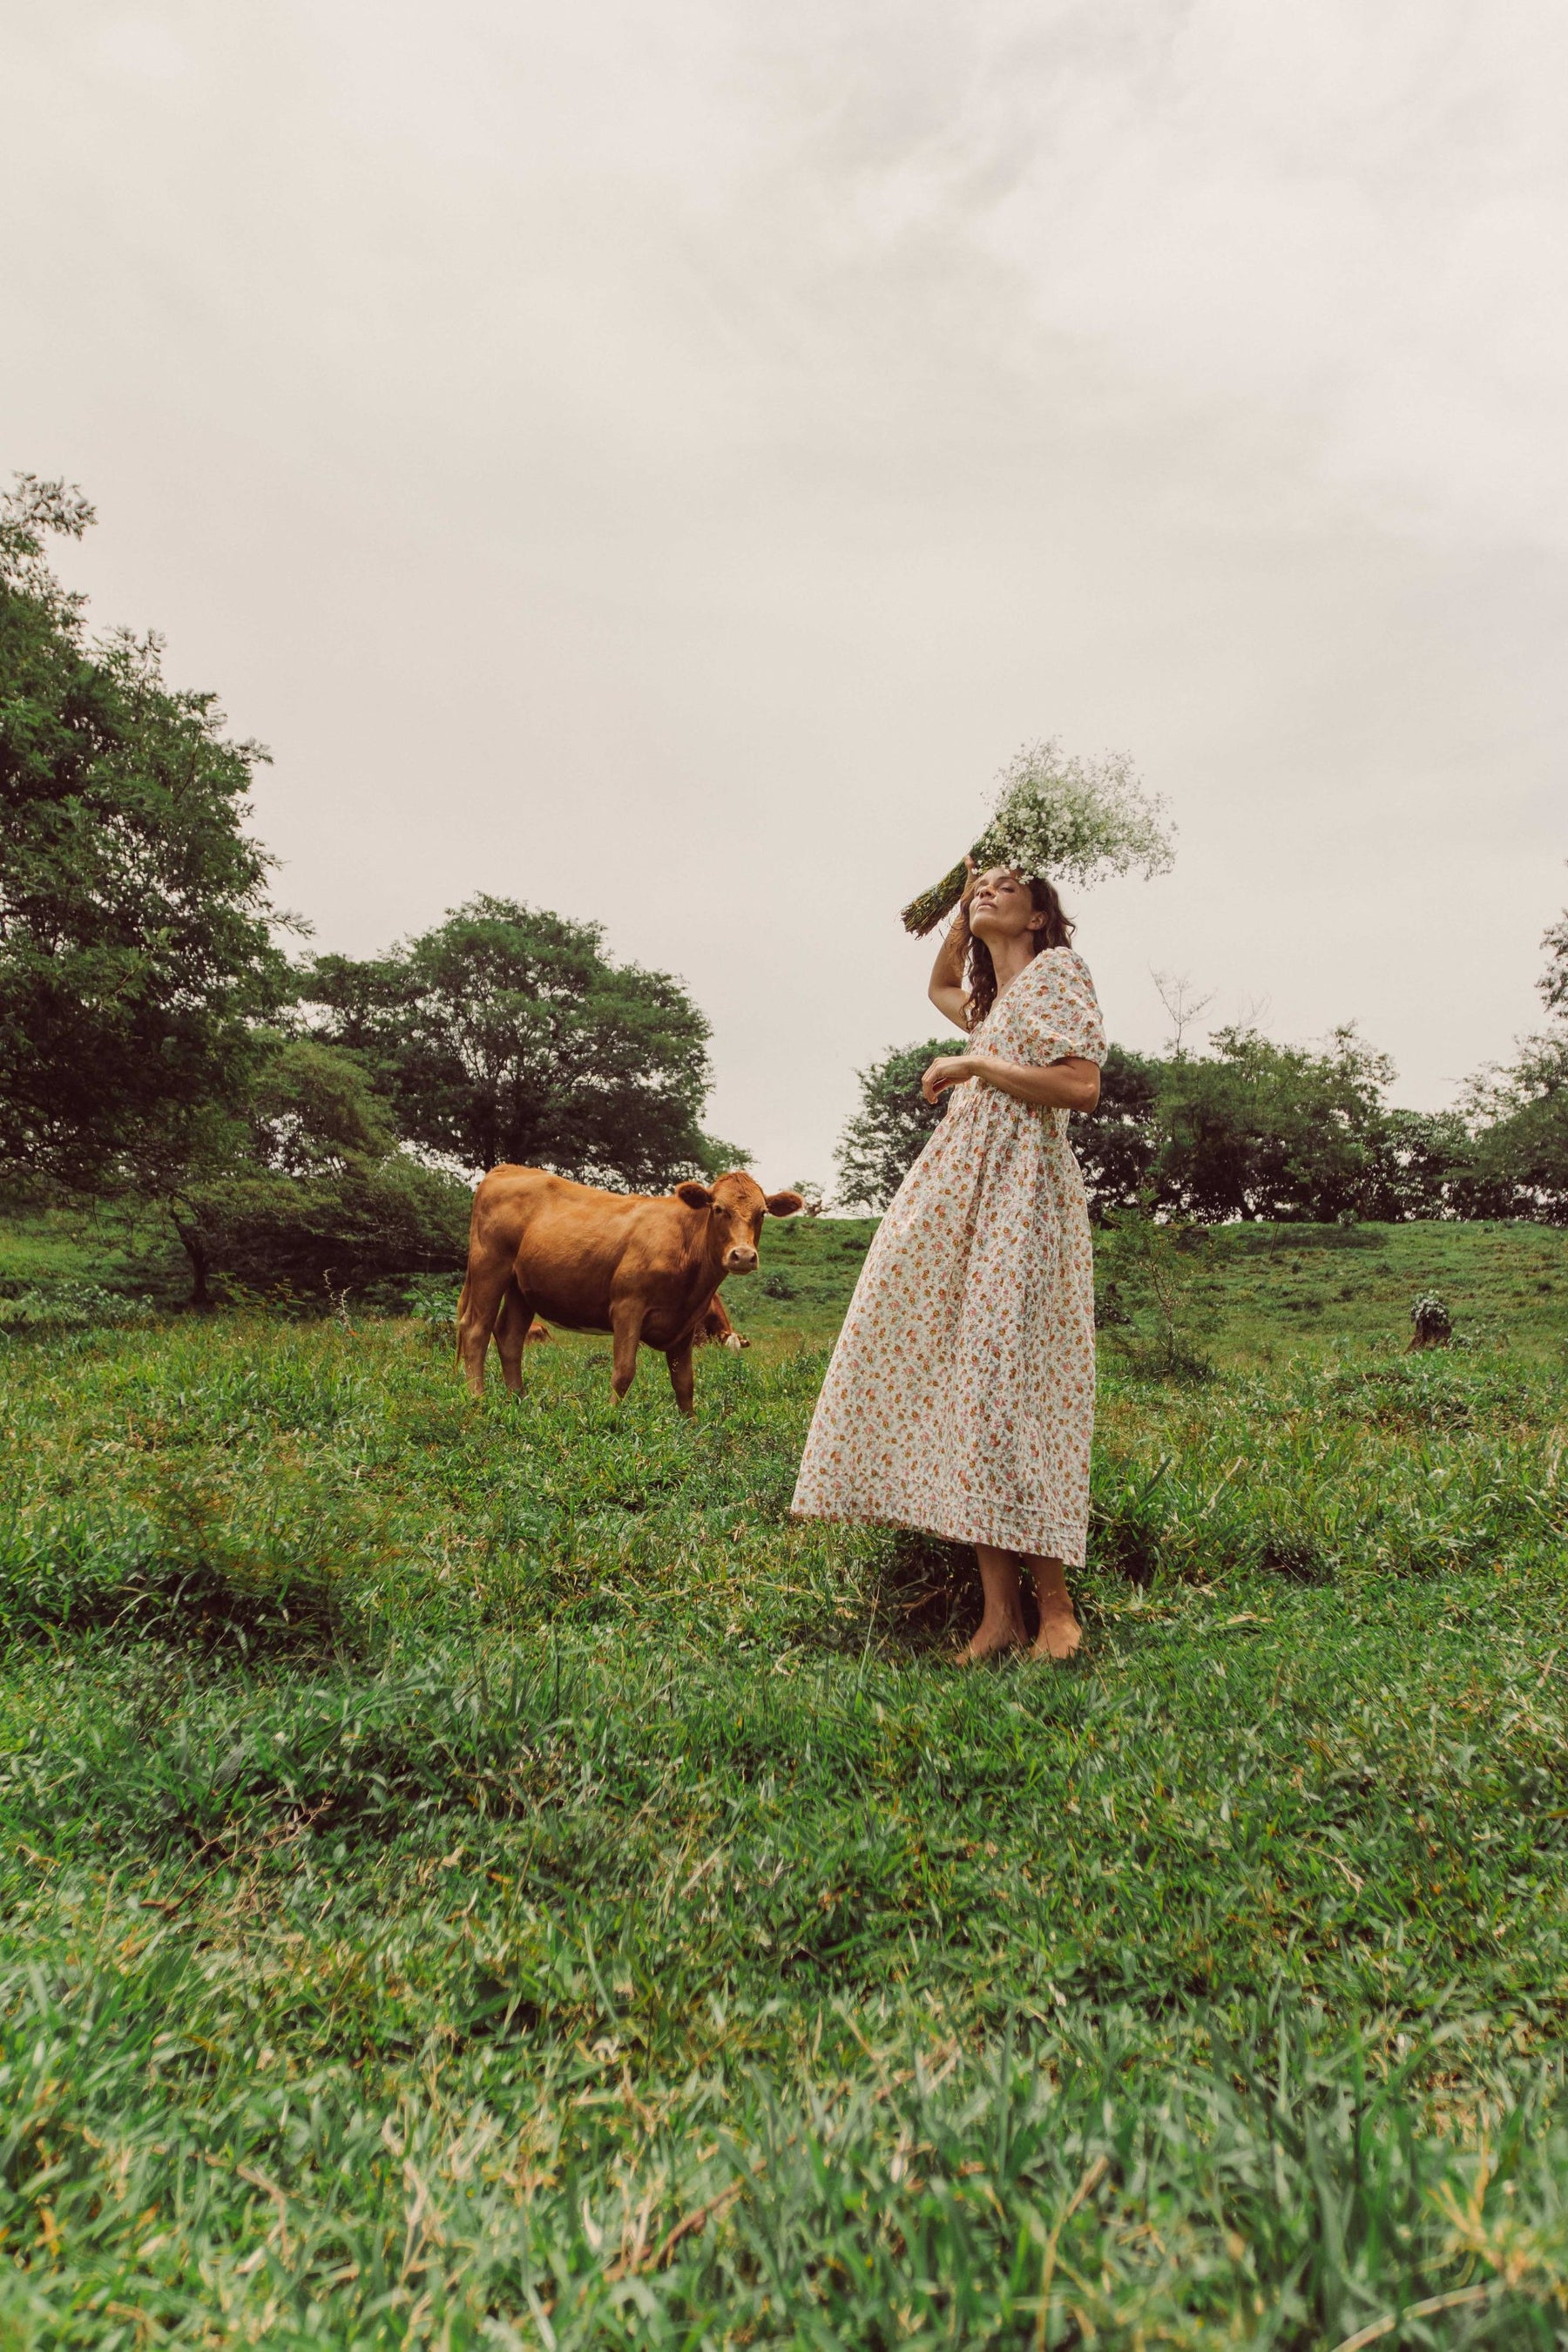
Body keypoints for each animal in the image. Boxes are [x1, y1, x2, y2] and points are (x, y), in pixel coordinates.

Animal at [453, 1161, 799, 1402]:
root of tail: (507, 1168)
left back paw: (519, 1401)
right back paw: (478, 1398)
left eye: (762, 1213)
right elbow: (623, 1373)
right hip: (489, 1268)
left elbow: (685, 1384)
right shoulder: (627, 1308)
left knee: (510, 1337)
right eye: (718, 1209)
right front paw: (610, 1418)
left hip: (522, 1288)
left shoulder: (686, 1324)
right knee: (476, 1330)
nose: (743, 1255)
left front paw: (691, 1430)